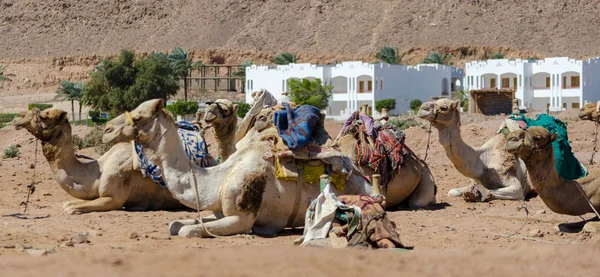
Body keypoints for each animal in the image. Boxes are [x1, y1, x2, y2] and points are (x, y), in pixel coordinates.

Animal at [11, 108, 184, 213]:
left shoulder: (113, 199)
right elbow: (67, 204)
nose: (17, 117)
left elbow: (70, 208)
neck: (96, 173)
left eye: (43, 116)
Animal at [103, 98, 376, 236]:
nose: (106, 130)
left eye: (138, 117)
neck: (218, 178)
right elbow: (176, 225)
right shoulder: (217, 211)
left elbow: (186, 231)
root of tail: (369, 185)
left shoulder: (241, 218)